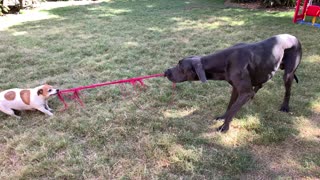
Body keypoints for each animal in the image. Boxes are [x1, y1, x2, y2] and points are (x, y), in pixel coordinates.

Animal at [165, 34, 302, 132]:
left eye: (180, 66)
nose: (166, 71)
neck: (224, 61)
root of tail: (296, 38)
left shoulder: (244, 92)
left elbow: (233, 109)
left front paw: (224, 127)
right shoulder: (236, 88)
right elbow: (231, 105)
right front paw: (223, 117)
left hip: (288, 74)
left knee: (287, 90)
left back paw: (285, 107)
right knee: (259, 85)